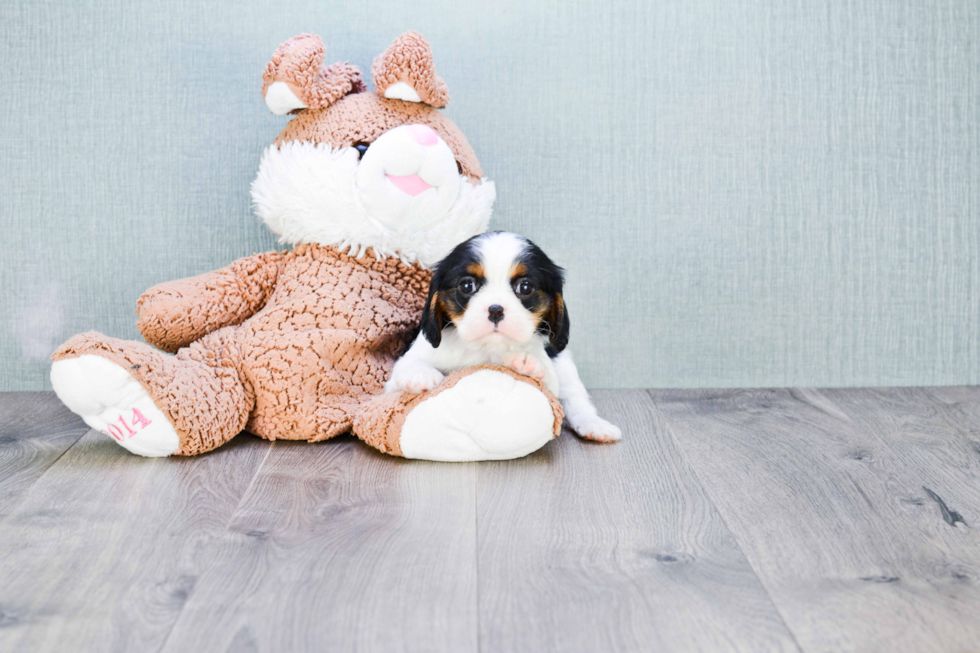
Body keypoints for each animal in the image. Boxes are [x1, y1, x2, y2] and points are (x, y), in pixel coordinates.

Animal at [384, 232, 620, 440]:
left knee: (577, 399)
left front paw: (526, 362)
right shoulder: (393, 383)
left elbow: (547, 380)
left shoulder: (551, 379)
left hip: (565, 365)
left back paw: (595, 426)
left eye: (525, 287)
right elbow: (408, 367)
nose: (496, 310)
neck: (487, 348)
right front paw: (419, 374)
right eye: (467, 285)